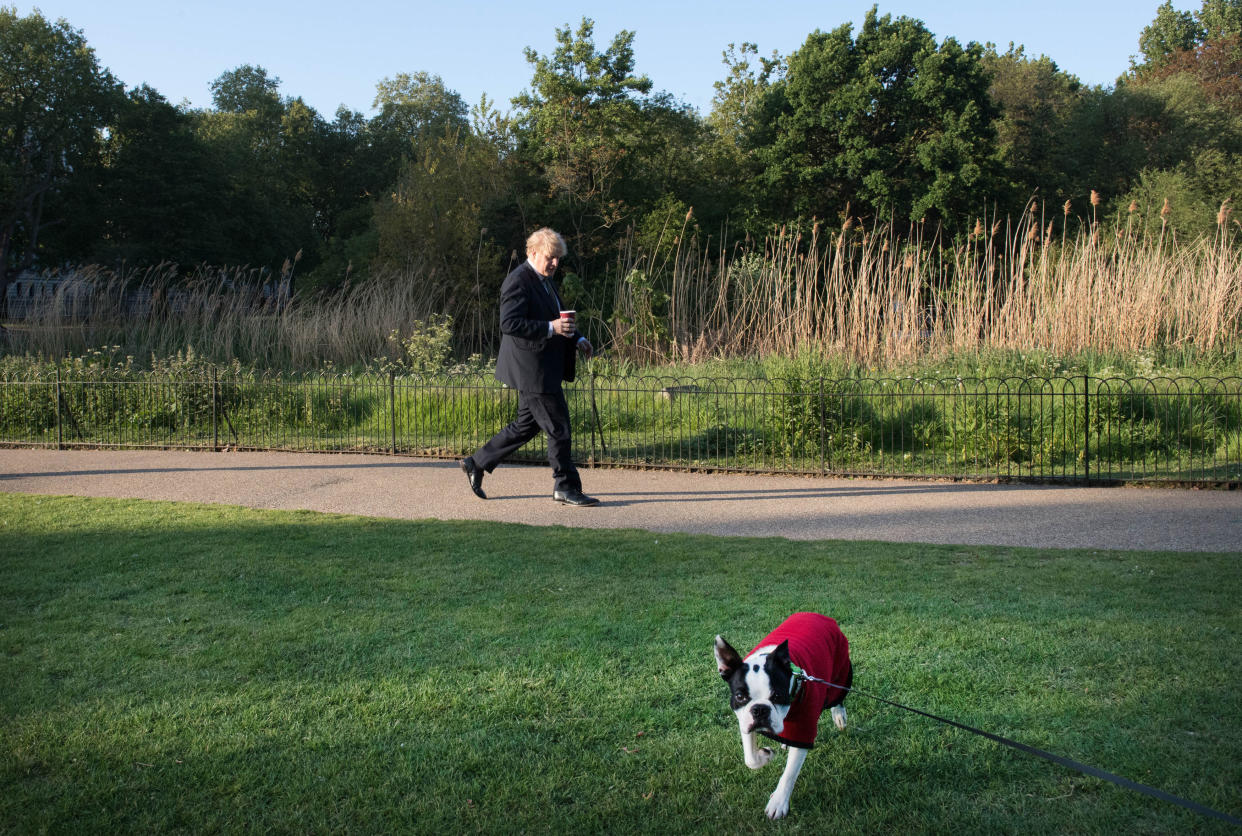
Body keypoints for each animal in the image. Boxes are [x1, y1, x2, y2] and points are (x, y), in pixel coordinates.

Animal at [715, 608, 849, 819]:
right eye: (740, 696)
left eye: (778, 695)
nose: (760, 709)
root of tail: (817, 614)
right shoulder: (744, 720)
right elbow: (750, 758)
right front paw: (766, 755)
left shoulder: (804, 729)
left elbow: (790, 773)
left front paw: (778, 802)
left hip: (840, 669)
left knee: (837, 694)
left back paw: (839, 715)